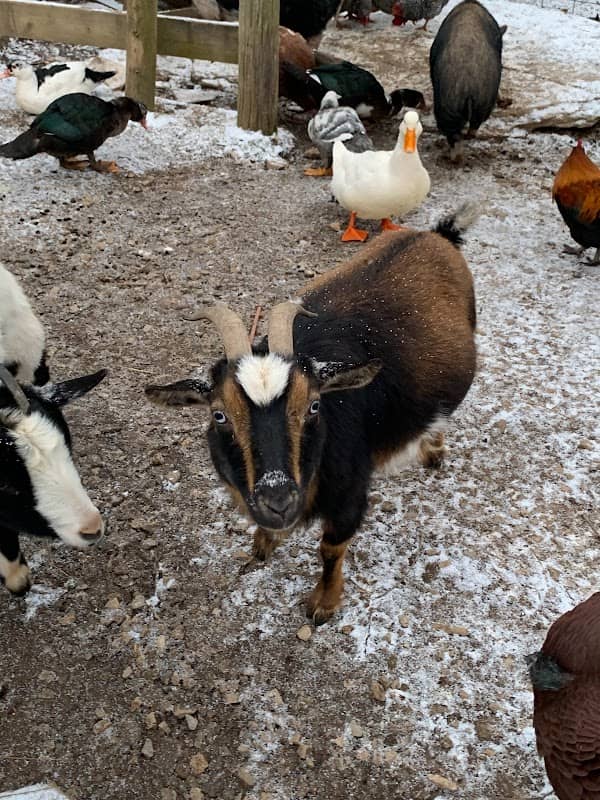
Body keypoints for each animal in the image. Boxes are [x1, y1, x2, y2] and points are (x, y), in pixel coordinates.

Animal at [145, 206, 478, 623]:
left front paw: (323, 603)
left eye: (315, 406)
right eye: (219, 415)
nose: (278, 500)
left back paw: (433, 452)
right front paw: (263, 544)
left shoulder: (351, 491)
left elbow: (331, 548)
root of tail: (435, 235)